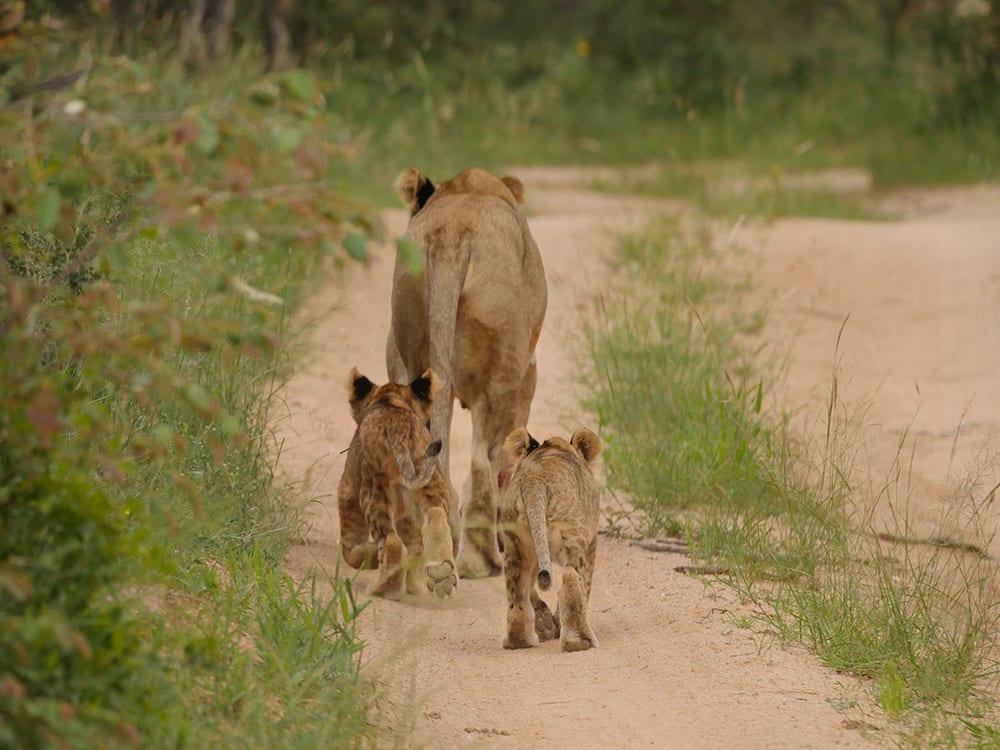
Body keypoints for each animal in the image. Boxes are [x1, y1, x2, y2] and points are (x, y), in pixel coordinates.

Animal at [337, 367, 458, 600]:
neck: (391, 400)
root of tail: (400, 428)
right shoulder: (407, 517)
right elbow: (416, 549)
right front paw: (413, 586)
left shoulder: (347, 492)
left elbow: (350, 551)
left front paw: (370, 555)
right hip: (431, 480)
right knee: (437, 516)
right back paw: (441, 574)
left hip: (374, 489)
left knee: (391, 541)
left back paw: (384, 589)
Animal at [388, 167, 548, 579]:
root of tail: (452, 232)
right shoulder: (527, 376)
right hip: (501, 374)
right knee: (481, 462)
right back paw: (481, 559)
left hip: (411, 344)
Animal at [498, 426, 603, 652]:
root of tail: (534, 480)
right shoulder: (592, 543)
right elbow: (586, 586)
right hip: (573, 538)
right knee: (571, 577)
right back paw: (579, 641)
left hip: (515, 547)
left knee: (518, 595)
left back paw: (519, 641)